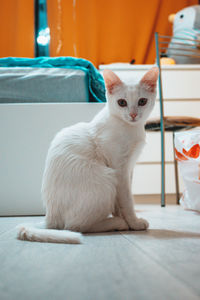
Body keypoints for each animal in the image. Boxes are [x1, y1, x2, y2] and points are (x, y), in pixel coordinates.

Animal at [17, 66, 159, 244]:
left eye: (142, 101)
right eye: (122, 102)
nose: (133, 115)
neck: (130, 128)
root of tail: (49, 218)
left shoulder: (129, 168)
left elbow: (120, 202)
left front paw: (125, 218)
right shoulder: (119, 170)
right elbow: (127, 200)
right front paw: (133, 222)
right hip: (106, 178)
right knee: (75, 226)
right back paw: (116, 223)